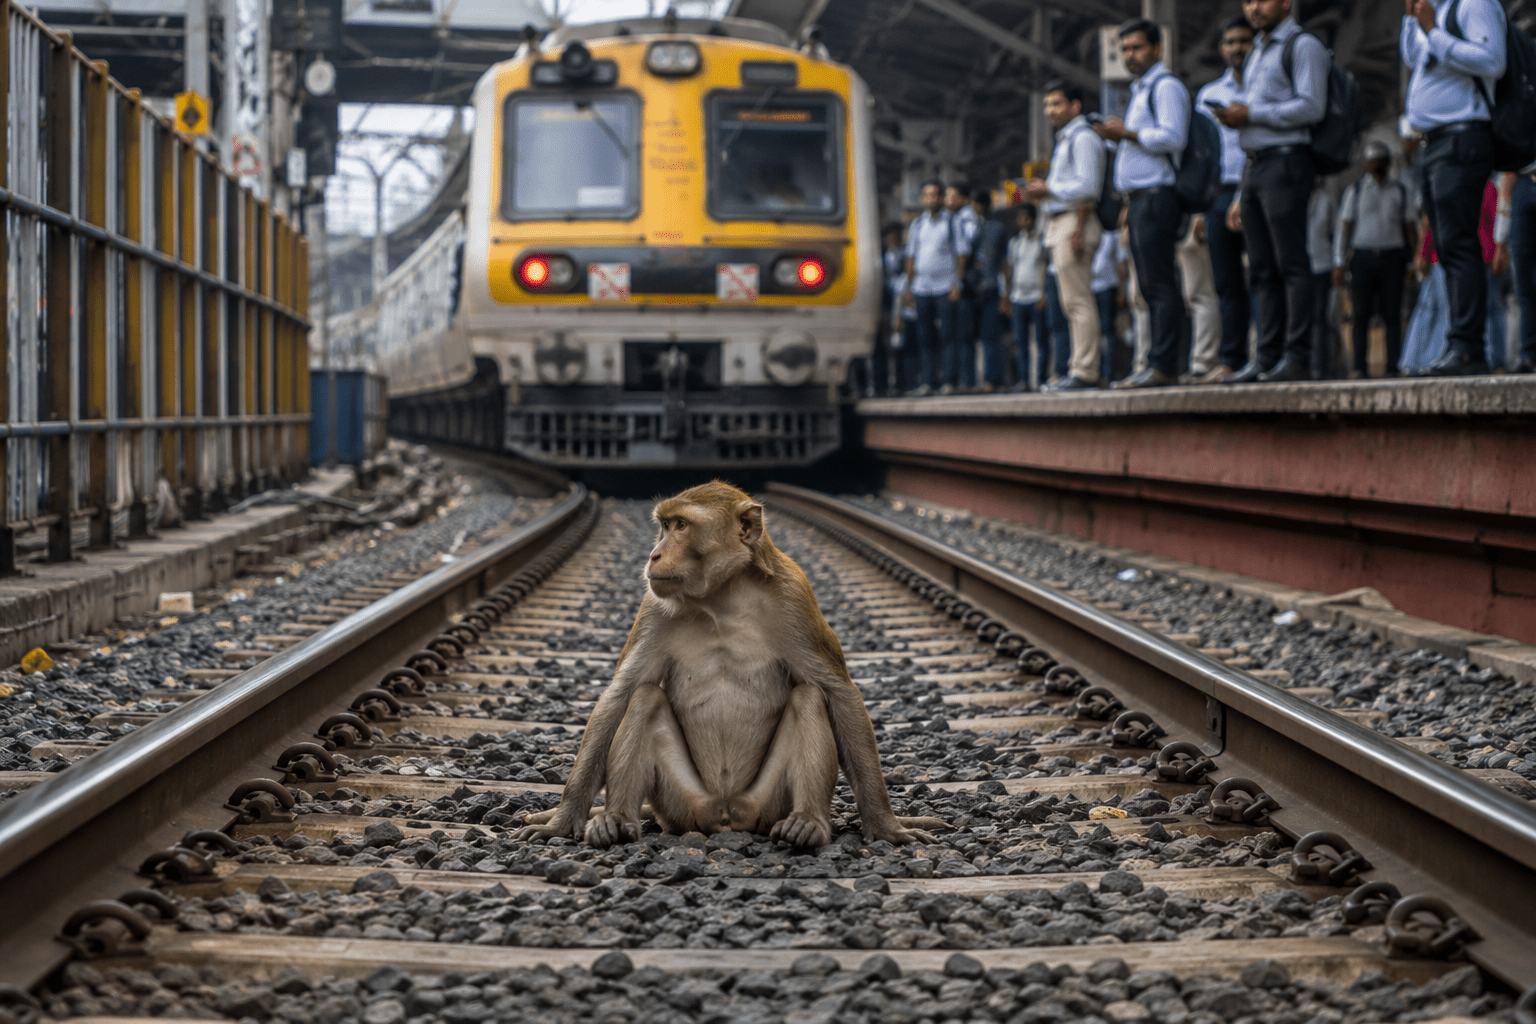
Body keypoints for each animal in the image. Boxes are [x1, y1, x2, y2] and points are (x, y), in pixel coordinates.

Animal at [515, 480, 948, 850]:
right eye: (664, 527)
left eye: (682, 526)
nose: (654, 555)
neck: (721, 599)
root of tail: (724, 816)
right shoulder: (654, 605)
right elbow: (619, 695)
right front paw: (564, 818)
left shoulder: (795, 596)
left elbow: (839, 693)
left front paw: (885, 824)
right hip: (681, 804)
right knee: (645, 699)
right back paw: (617, 821)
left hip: (764, 804)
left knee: (808, 698)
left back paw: (808, 824)